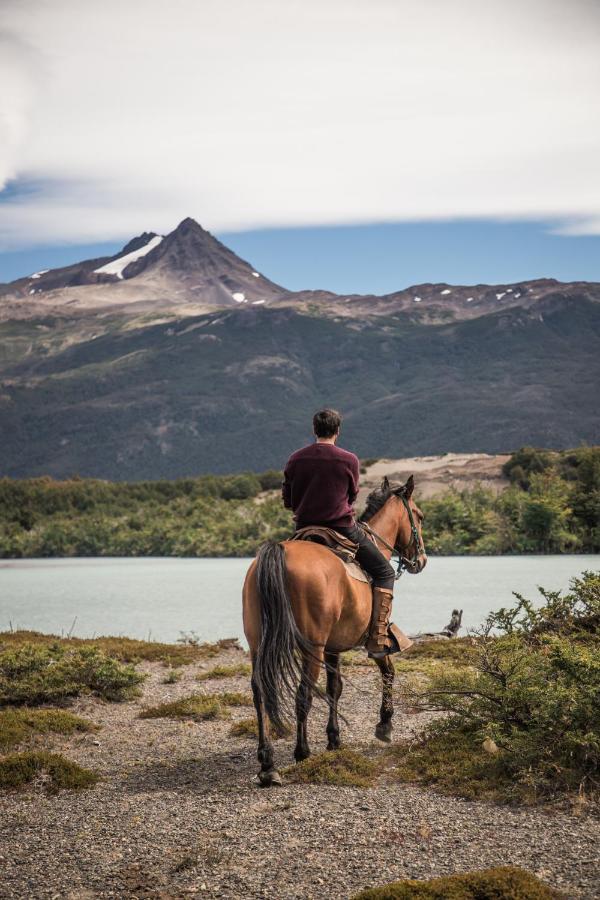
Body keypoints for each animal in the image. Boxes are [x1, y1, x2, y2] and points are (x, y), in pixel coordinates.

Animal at [241, 474, 424, 784]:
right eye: (419, 516)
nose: (421, 561)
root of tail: (279, 553)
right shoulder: (374, 641)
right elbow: (388, 671)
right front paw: (384, 724)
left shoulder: (332, 647)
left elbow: (334, 687)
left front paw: (334, 738)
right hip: (310, 647)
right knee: (303, 693)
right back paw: (302, 751)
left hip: (259, 644)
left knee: (261, 692)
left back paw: (267, 764)